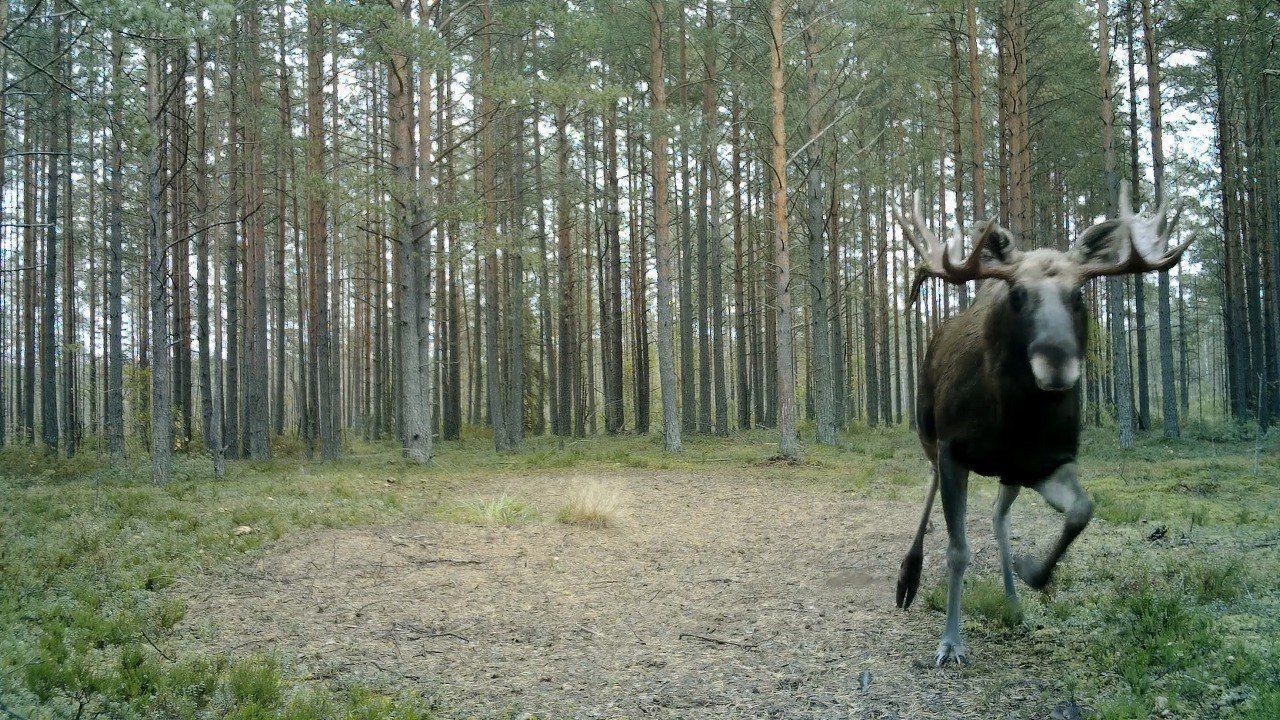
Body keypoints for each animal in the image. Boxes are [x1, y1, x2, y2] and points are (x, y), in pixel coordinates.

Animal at [890, 185, 1187, 661]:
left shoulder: (1045, 461)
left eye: (1079, 295)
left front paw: (1032, 572)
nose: (1057, 363)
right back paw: (908, 576)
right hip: (928, 433)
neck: (1015, 420)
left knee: (999, 516)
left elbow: (1082, 511)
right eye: (1017, 295)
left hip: (1008, 474)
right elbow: (958, 551)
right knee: (932, 484)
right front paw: (951, 641)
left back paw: (1013, 599)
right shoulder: (955, 451)